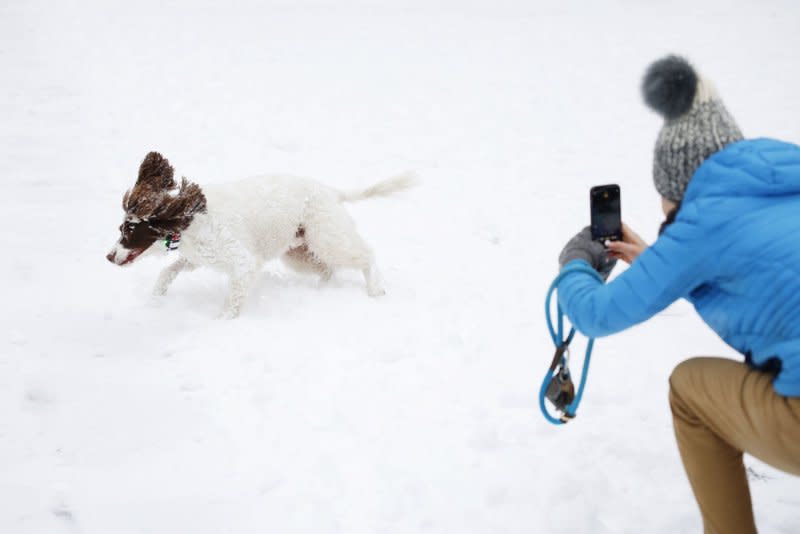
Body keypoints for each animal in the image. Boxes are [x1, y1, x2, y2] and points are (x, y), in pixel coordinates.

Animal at [106, 151, 416, 318]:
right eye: (122, 228)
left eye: (130, 229)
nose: (109, 256)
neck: (189, 221)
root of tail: (329, 191)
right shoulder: (198, 257)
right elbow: (167, 271)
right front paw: (156, 298)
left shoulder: (243, 262)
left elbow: (232, 302)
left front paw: (220, 323)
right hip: (298, 253)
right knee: (328, 270)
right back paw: (322, 290)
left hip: (327, 237)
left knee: (366, 255)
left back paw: (375, 290)